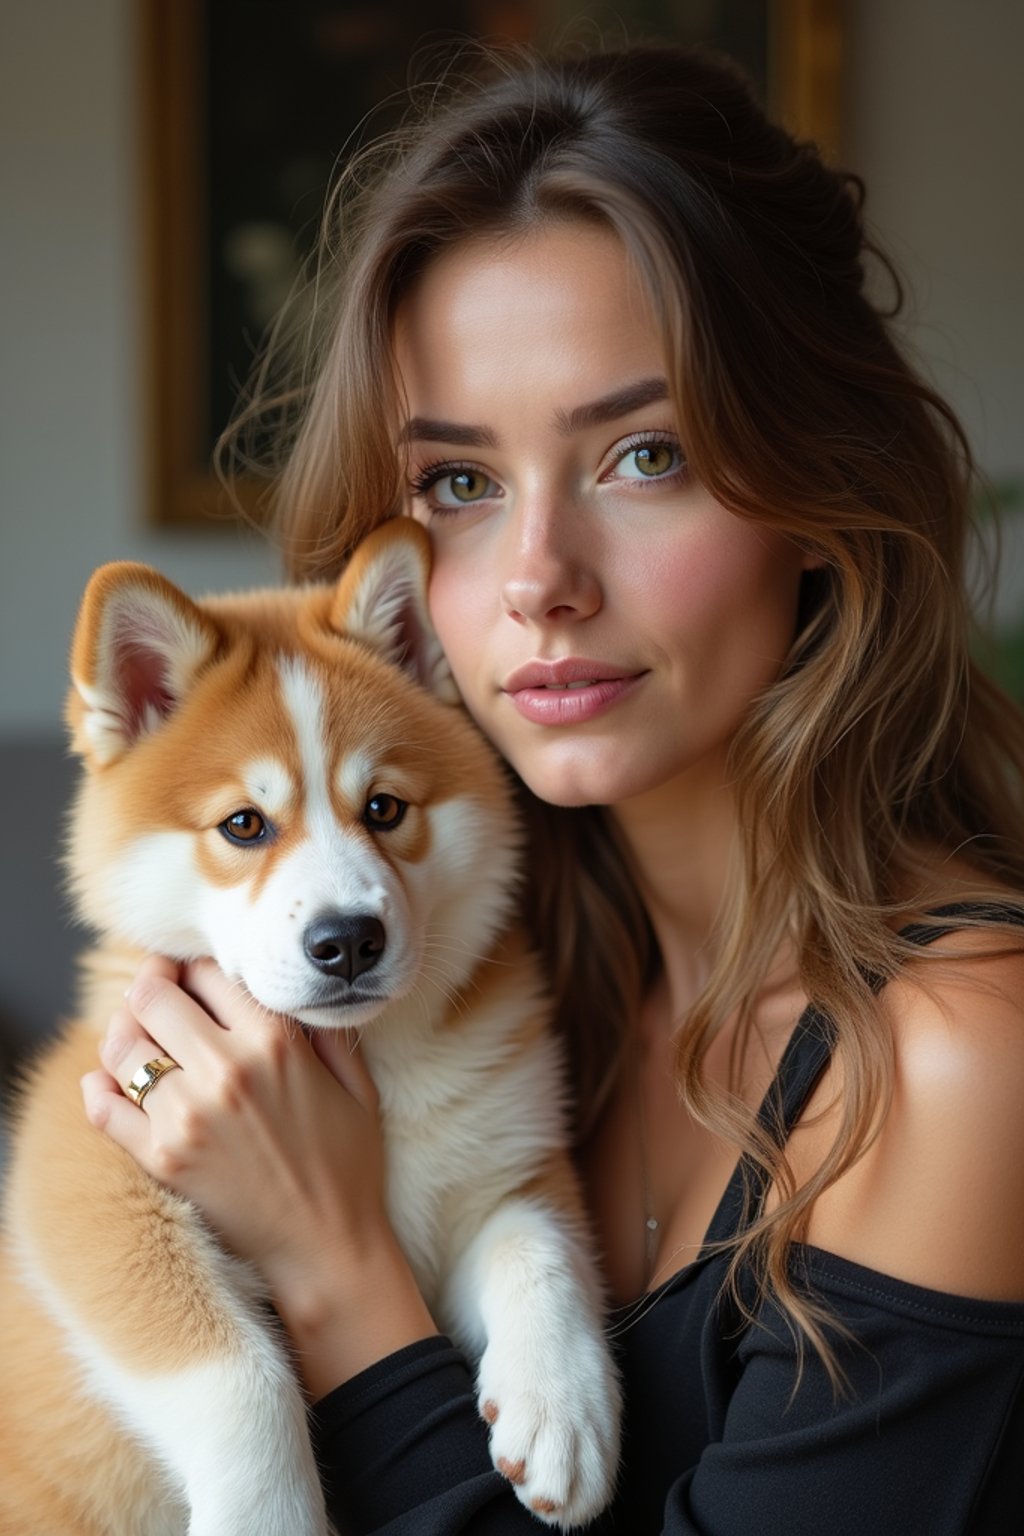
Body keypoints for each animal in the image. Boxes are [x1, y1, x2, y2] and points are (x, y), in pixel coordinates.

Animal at [0, 519, 620, 1536]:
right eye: (244, 825)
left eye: (385, 808)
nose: (348, 941)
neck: (364, 1063)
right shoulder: (91, 1174)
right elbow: (237, 1373)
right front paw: (269, 1515)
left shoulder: (508, 1161)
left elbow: (541, 1250)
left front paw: (562, 1408)